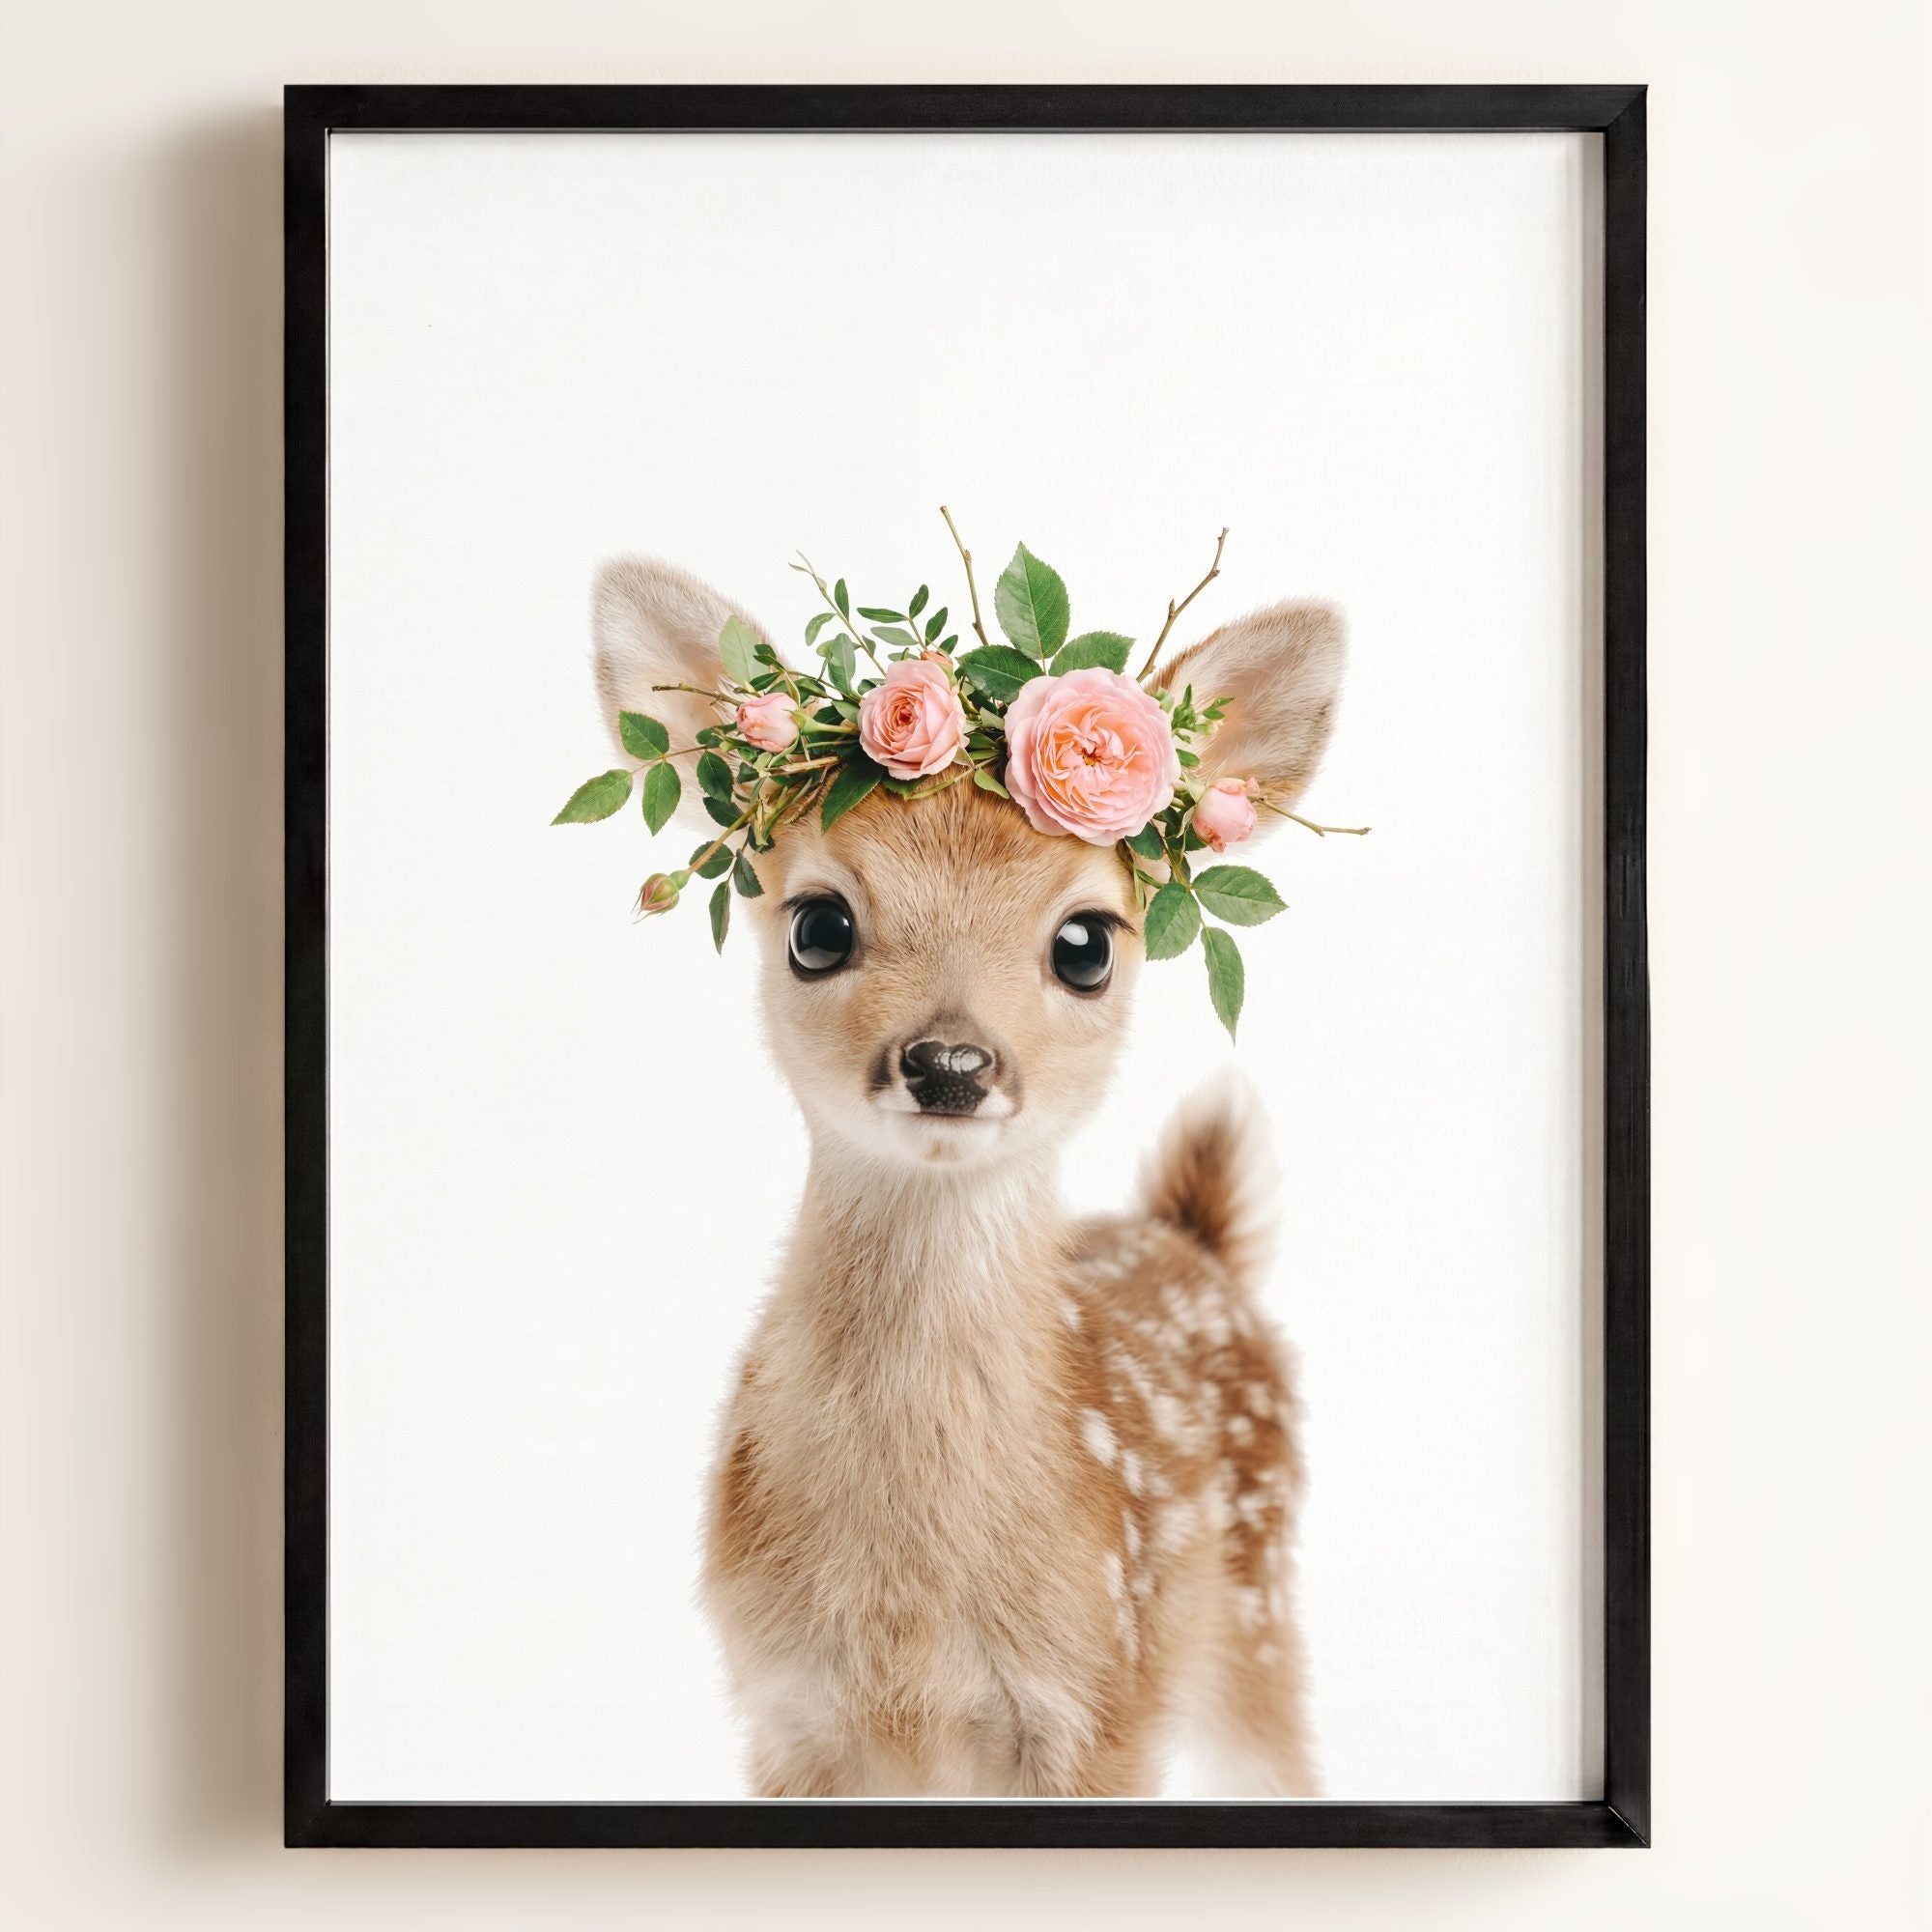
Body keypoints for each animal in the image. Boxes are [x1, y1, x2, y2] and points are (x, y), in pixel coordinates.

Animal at [588, 553, 1347, 1797]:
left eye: (1085, 942)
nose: (949, 1063)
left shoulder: (1101, 1700)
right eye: (817, 924)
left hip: (1256, 1611)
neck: (912, 1610)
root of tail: (1191, 1237)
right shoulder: (784, 1712)